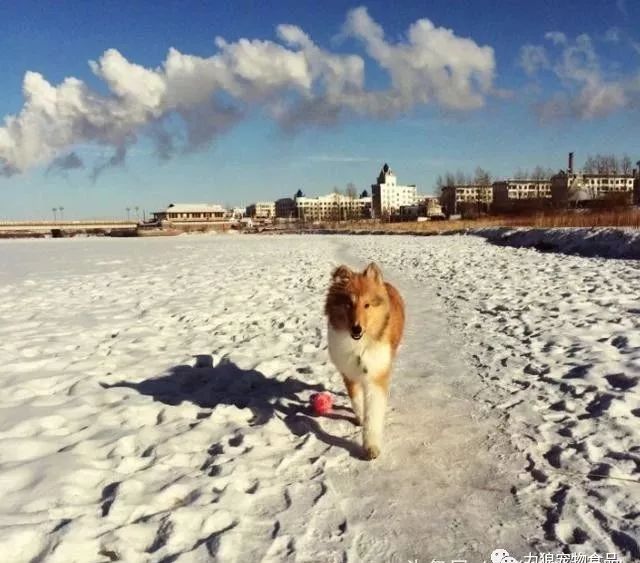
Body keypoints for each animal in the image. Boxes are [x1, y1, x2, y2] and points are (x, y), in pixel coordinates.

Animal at [324, 262, 404, 460]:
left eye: (367, 305)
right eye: (348, 304)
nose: (356, 329)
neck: (360, 345)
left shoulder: (376, 376)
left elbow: (373, 415)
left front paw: (371, 447)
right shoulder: (349, 373)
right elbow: (357, 400)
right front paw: (359, 417)